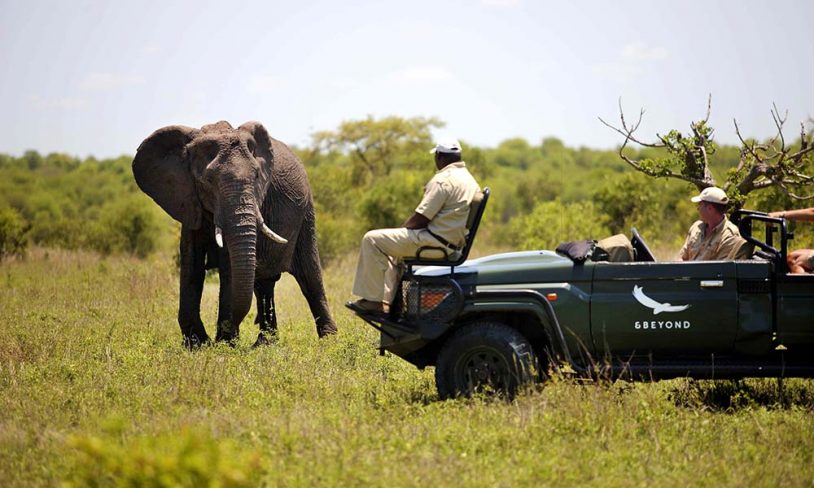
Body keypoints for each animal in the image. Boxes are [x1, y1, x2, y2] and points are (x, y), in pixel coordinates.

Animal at [134, 119, 338, 346]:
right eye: (208, 181)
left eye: (256, 176)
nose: (235, 329)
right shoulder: (188, 200)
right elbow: (191, 263)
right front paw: (197, 344)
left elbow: (228, 266)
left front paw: (224, 343)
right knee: (263, 285)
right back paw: (265, 343)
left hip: (306, 214)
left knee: (310, 277)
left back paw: (328, 340)